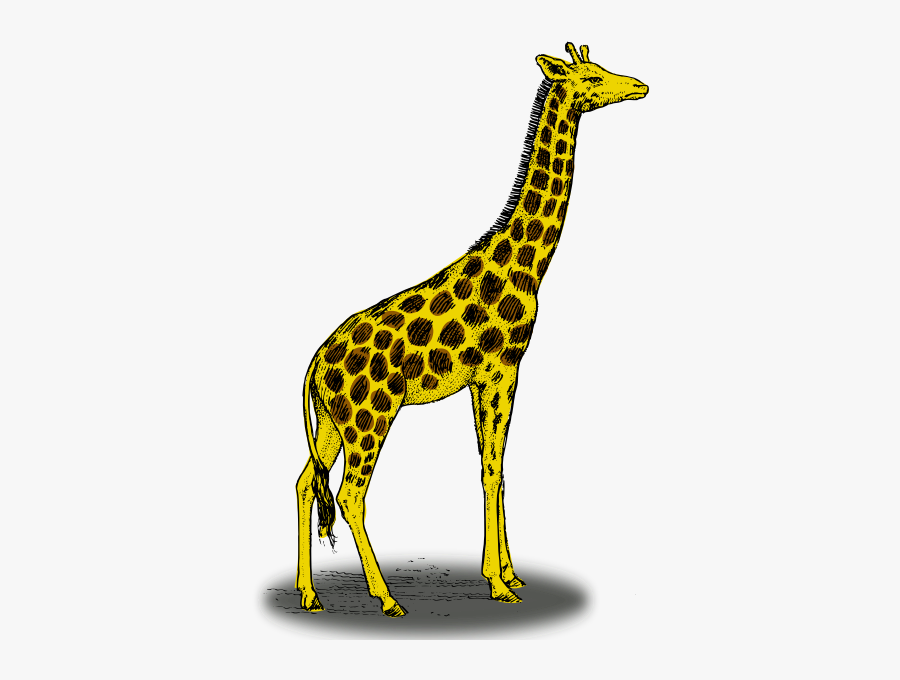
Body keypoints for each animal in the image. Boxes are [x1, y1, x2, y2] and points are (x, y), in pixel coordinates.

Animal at [295, 43, 648, 616]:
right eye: (593, 77)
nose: (639, 85)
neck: (529, 268)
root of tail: (314, 366)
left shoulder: (483, 379)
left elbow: (494, 467)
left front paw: (509, 574)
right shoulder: (502, 370)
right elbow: (492, 468)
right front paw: (499, 584)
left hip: (332, 422)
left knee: (308, 481)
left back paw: (309, 594)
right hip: (370, 419)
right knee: (349, 494)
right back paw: (385, 597)